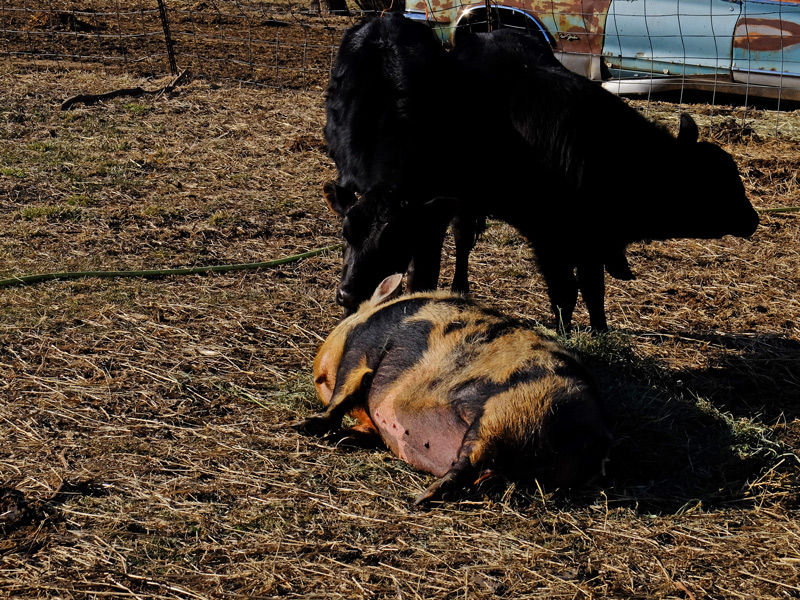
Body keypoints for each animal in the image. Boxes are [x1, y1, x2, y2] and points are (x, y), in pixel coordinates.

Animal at [293, 273, 613, 505]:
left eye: (322, 379)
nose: (317, 375)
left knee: (473, 460)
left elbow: (343, 393)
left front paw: (303, 426)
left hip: (508, 414)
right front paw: (343, 439)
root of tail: (595, 438)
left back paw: (421, 499)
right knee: (487, 475)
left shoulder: (362, 347)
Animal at [327, 24, 760, 332]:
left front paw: (601, 332)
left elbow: (594, 289)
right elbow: (565, 292)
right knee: (464, 240)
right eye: (713, 183)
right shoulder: (550, 240)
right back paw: (460, 286)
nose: (752, 219)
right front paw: (565, 334)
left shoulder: (590, 243)